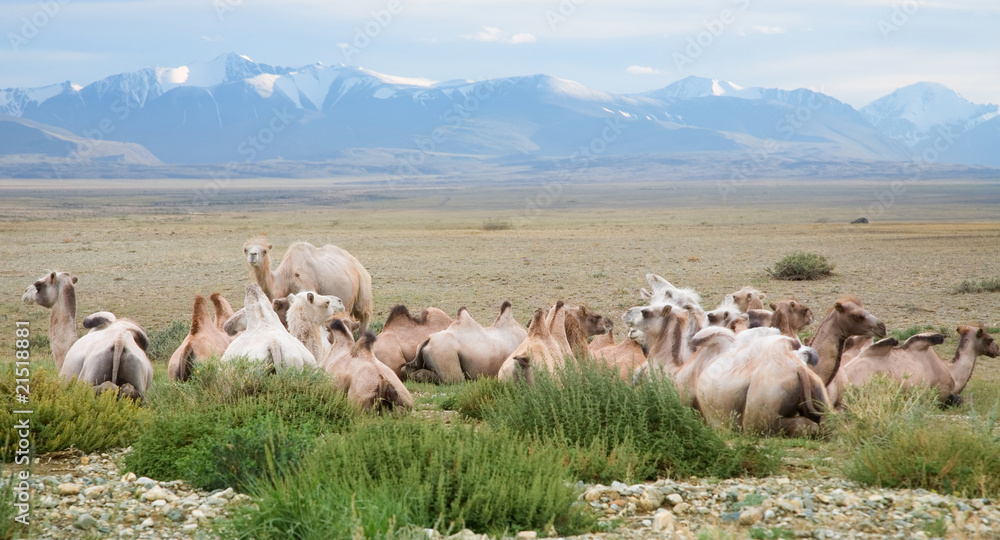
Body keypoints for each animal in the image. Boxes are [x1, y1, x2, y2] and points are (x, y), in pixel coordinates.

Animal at [243, 238, 374, 330]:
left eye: (264, 251)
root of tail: (356, 263)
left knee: (364, 315)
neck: (286, 276)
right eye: (245, 250)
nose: (253, 255)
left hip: (363, 285)